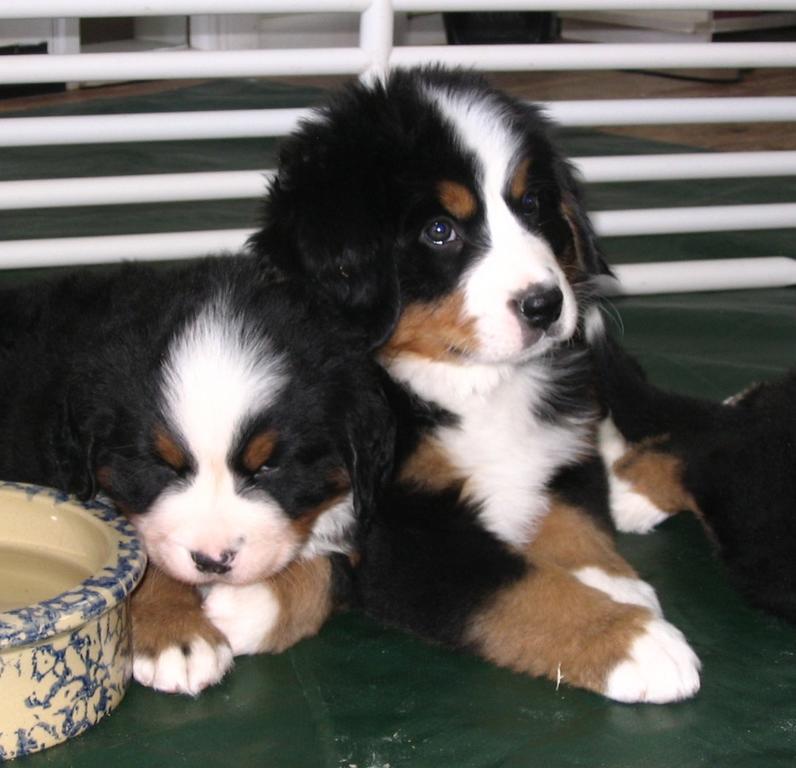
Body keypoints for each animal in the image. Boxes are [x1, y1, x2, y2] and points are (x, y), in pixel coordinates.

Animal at [0, 258, 394, 696]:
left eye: (269, 467)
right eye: (161, 465)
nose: (212, 561)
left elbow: (328, 572)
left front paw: (239, 609)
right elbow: (142, 559)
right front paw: (177, 636)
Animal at [249, 67, 704, 704]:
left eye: (532, 204)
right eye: (440, 231)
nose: (545, 305)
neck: (473, 382)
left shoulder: (562, 441)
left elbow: (574, 518)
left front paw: (615, 583)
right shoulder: (400, 529)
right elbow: (519, 587)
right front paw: (633, 640)